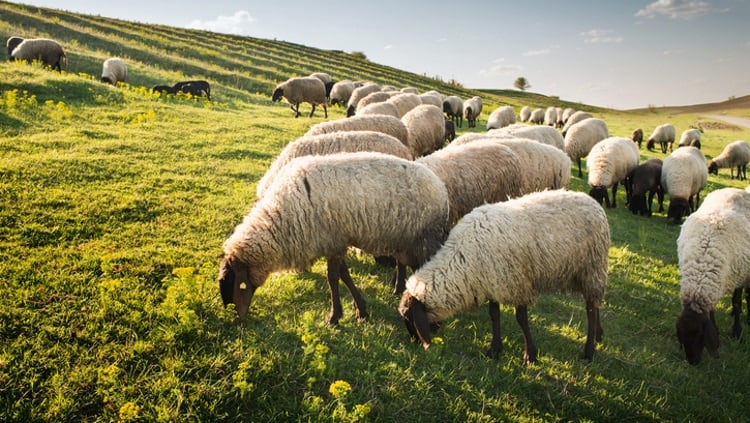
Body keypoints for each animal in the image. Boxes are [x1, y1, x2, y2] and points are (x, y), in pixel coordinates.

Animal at [219, 152, 450, 324]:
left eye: (240, 286)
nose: (240, 318)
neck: (283, 217)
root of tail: (441, 188)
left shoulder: (333, 240)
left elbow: (333, 278)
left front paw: (335, 317)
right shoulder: (336, 243)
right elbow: (343, 275)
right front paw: (361, 310)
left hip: (424, 237)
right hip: (406, 240)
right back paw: (399, 289)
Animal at [398, 189, 609, 363]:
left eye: (409, 318)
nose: (416, 343)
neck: (463, 259)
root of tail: (591, 201)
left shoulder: (517, 282)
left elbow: (521, 318)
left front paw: (530, 355)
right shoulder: (493, 281)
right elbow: (494, 315)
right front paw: (495, 350)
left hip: (592, 268)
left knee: (591, 309)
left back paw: (589, 351)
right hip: (582, 273)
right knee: (595, 305)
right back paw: (599, 335)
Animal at [676, 187, 750, 365]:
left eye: (700, 335)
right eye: (681, 336)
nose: (693, 362)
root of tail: (733, 189)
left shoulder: (740, 277)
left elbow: (737, 302)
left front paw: (737, 332)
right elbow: (712, 312)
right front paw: (717, 327)